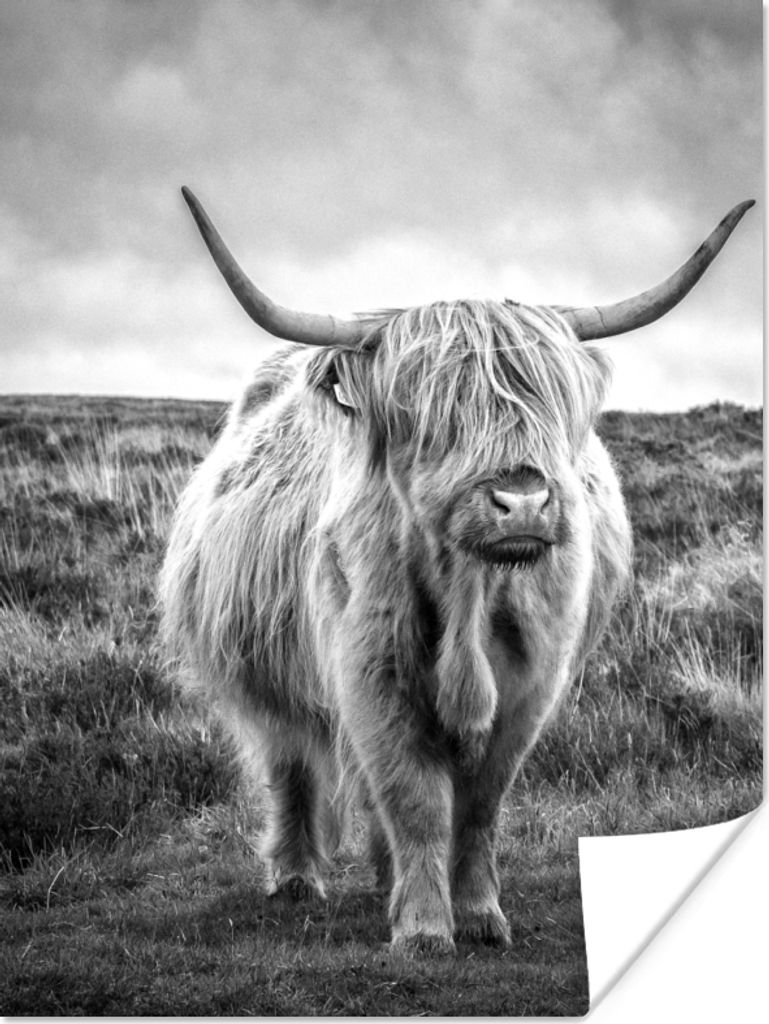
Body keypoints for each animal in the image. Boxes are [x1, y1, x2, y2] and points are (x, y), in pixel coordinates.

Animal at [160, 191, 752, 955]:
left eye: (549, 404)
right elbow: (412, 797)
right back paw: (295, 878)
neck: (470, 595)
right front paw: (421, 927)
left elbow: (478, 804)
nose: (522, 500)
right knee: (290, 763)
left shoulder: (531, 684)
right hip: (265, 672)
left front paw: (476, 914)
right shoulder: (370, 673)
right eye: (431, 413)